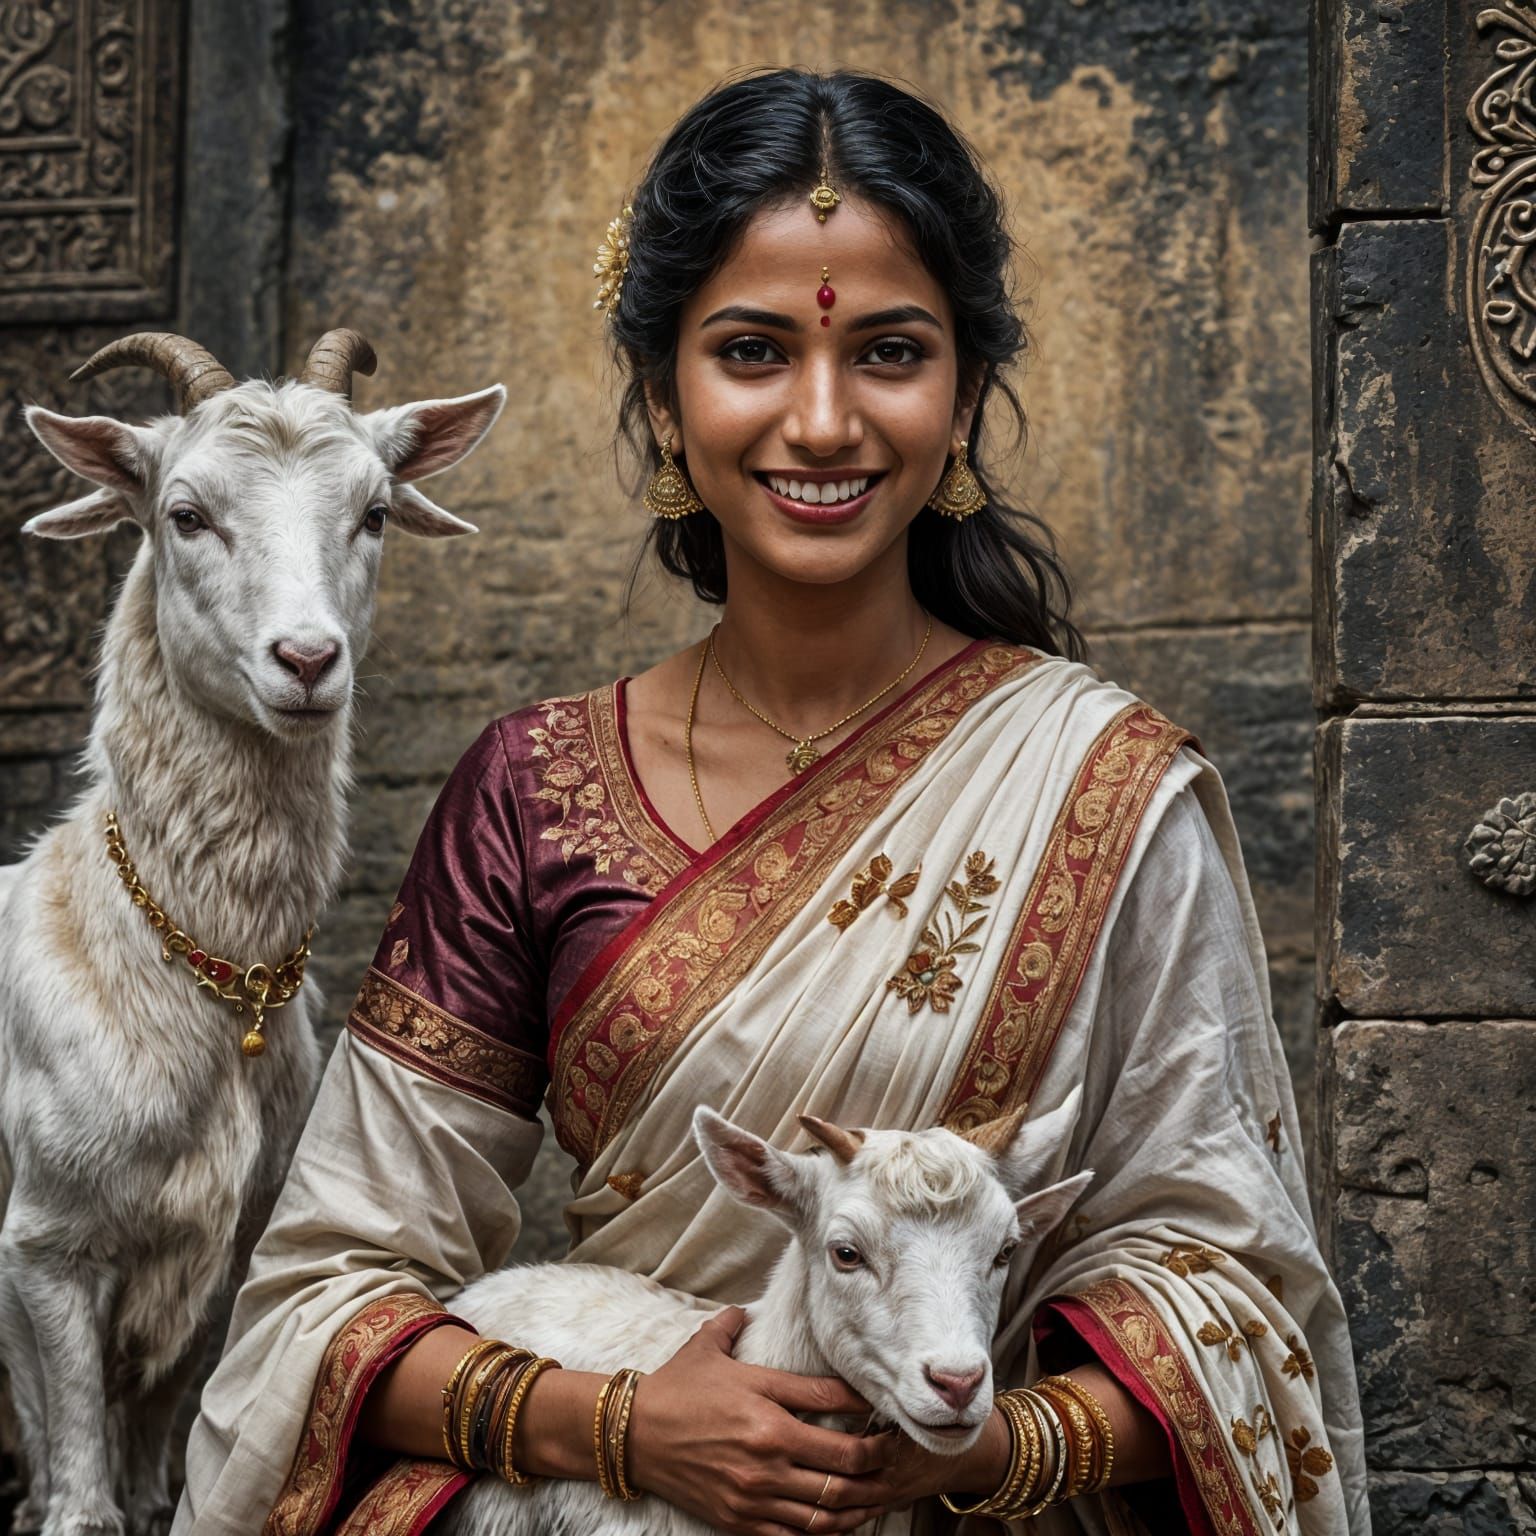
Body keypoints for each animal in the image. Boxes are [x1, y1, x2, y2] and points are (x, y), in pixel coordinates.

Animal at [0, 330, 505, 1536]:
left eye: (375, 510)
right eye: (184, 514)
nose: (309, 660)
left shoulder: (228, 1243)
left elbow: (151, 1482)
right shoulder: (44, 1242)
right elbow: (79, 1490)